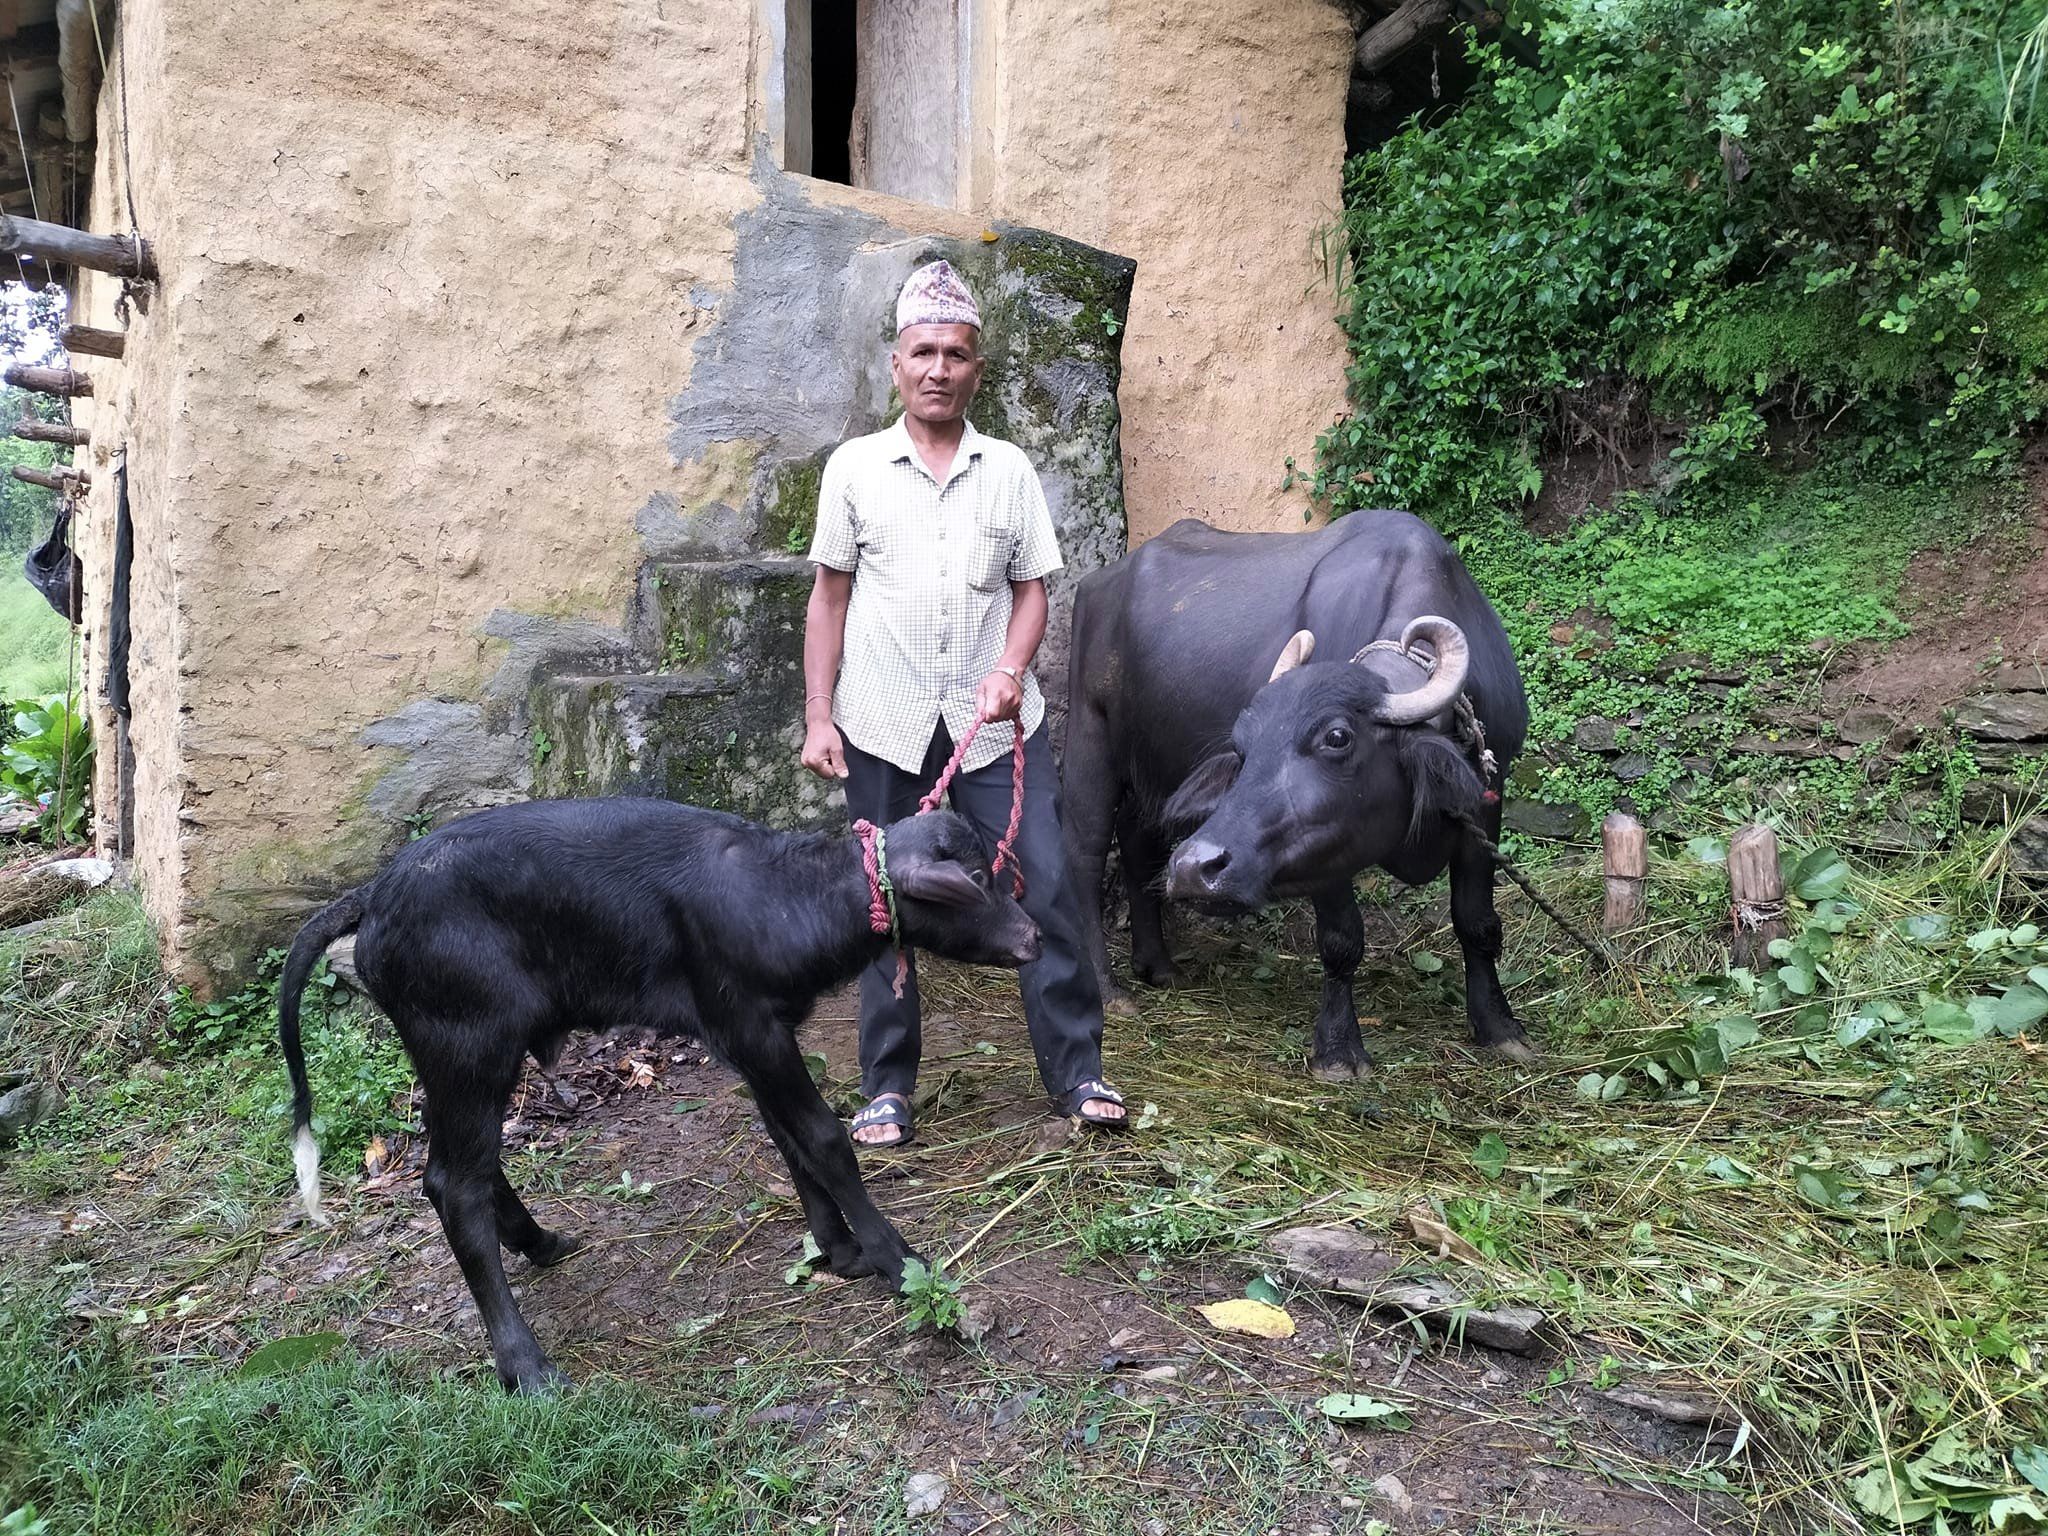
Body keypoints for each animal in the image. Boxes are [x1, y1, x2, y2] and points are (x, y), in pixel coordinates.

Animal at [276, 806, 1040, 1392]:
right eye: (976, 880)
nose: (1032, 936)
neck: (788, 897)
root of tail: (375, 893)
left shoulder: (751, 1039)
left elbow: (789, 1137)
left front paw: (838, 1249)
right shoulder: (752, 1026)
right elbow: (823, 1137)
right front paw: (898, 1260)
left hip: (454, 1058)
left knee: (470, 1165)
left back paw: (542, 1241)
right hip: (467, 1043)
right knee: (451, 1185)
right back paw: (528, 1369)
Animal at [1064, 512, 1531, 1073]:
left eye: (1337, 737)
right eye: (1243, 746)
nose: (1195, 869)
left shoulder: (1487, 800)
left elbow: (1478, 921)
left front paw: (1500, 1026)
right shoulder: (1324, 846)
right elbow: (1341, 939)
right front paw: (1338, 1049)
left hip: (1152, 769)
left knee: (1139, 845)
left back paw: (1158, 965)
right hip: (1090, 733)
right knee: (1084, 854)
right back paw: (1109, 990)